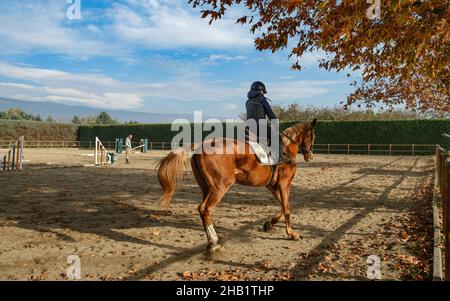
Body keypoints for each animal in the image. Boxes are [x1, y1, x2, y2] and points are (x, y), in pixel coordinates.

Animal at [157, 118, 316, 250]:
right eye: (313, 136)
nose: (310, 156)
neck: (287, 148)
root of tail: (203, 145)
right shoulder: (284, 184)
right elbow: (287, 209)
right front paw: (291, 234)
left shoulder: (272, 186)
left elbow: (284, 207)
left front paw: (270, 223)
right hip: (220, 188)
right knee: (205, 209)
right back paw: (214, 241)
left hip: (207, 188)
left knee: (202, 209)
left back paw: (212, 239)